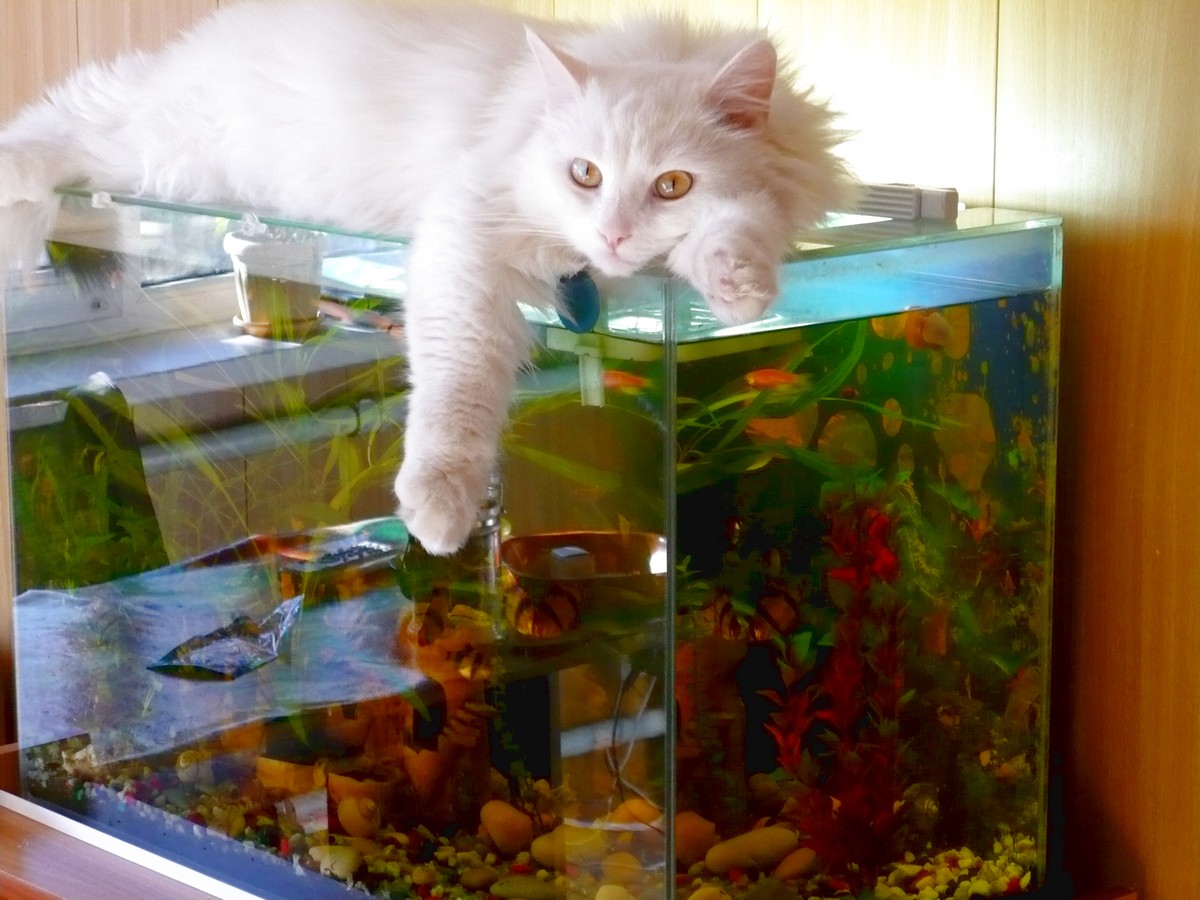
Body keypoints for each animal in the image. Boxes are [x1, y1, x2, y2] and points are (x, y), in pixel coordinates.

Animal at [0, 0, 850, 555]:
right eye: (584, 173)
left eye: (672, 185)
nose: (613, 234)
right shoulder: (465, 242)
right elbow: (458, 387)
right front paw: (440, 509)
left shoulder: (771, 206)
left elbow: (738, 226)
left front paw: (739, 286)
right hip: (160, 149)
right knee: (58, 122)